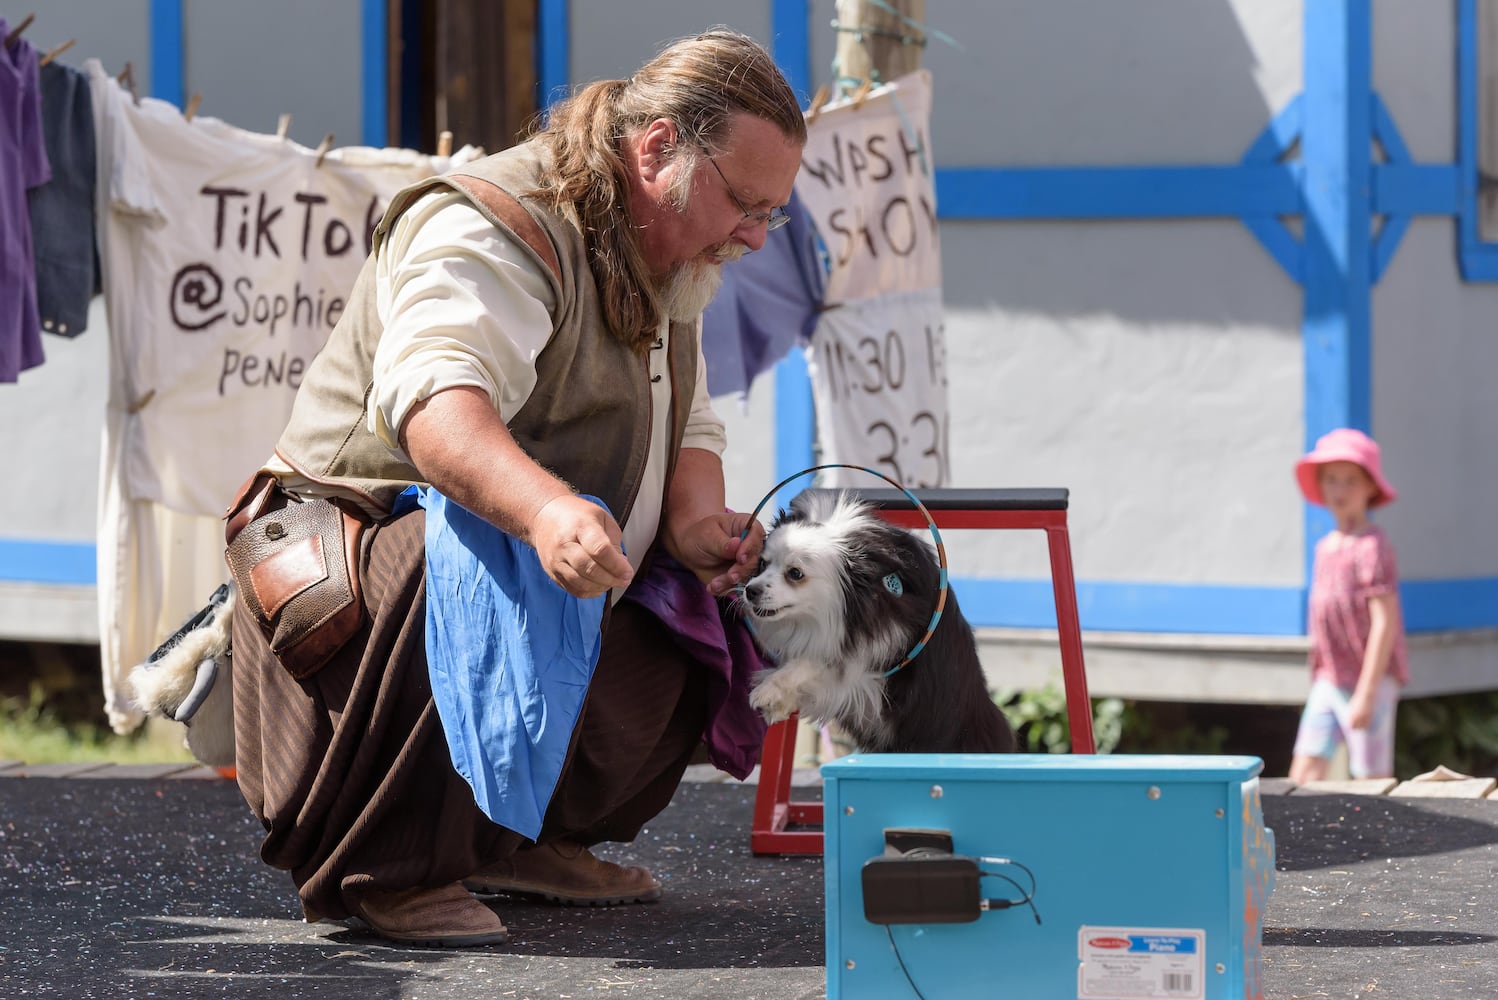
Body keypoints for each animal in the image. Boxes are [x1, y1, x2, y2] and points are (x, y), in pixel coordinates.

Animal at [740, 488, 1018, 754]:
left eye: (795, 573)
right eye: (762, 564)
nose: (750, 590)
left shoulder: (879, 654)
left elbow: (819, 661)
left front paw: (769, 689)